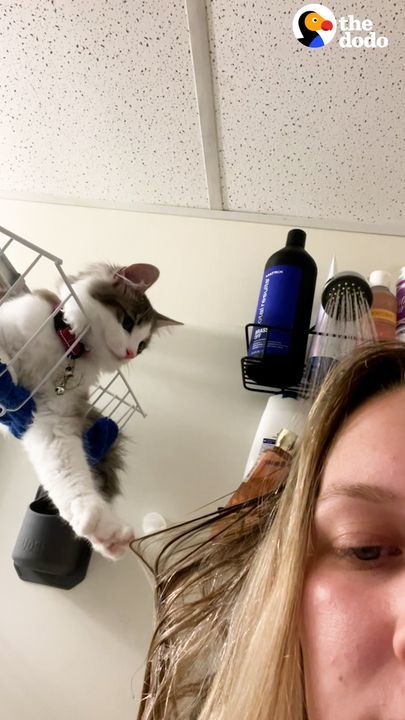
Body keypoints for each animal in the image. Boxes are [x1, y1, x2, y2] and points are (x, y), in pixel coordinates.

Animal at [0, 262, 180, 560]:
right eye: (127, 322)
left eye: (142, 346)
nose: (131, 353)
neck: (67, 349)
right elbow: (4, 359)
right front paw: (8, 376)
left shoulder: (52, 419)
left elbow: (68, 475)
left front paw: (100, 526)